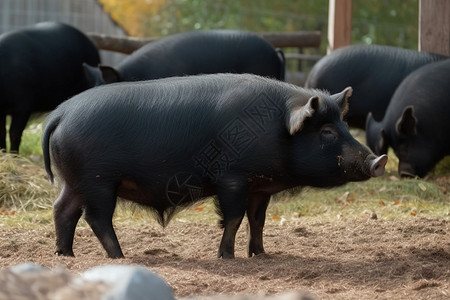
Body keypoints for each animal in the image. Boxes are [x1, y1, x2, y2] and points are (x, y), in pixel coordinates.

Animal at [42, 72, 386, 258]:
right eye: (326, 132)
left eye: (343, 126)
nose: (378, 160)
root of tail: (60, 113)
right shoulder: (232, 178)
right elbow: (233, 218)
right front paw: (227, 257)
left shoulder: (260, 187)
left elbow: (258, 220)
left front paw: (260, 254)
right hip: (98, 181)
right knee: (96, 218)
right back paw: (121, 257)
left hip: (74, 181)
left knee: (63, 210)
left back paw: (65, 255)